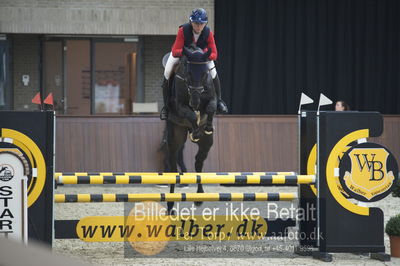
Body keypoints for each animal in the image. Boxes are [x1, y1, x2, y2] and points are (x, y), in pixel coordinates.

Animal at [162, 44, 217, 213]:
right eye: (188, 73)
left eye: (205, 73)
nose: (194, 102)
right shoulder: (179, 106)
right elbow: (191, 115)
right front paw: (196, 130)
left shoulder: (211, 99)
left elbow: (211, 107)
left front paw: (207, 126)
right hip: (174, 138)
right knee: (173, 167)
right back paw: (170, 205)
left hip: (207, 143)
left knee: (198, 163)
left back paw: (199, 197)